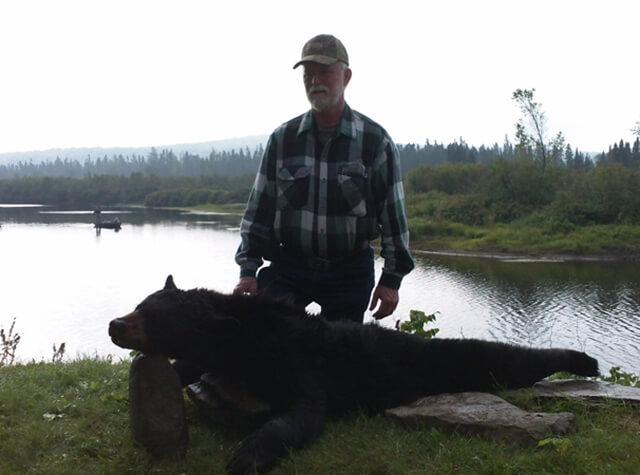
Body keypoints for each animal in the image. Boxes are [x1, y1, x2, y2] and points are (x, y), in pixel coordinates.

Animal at [107, 278, 596, 474]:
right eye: (140, 303)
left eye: (155, 318)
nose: (114, 324)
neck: (249, 338)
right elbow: (189, 369)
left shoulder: (301, 366)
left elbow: (303, 415)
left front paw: (248, 454)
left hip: (457, 361)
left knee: (509, 360)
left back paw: (583, 361)